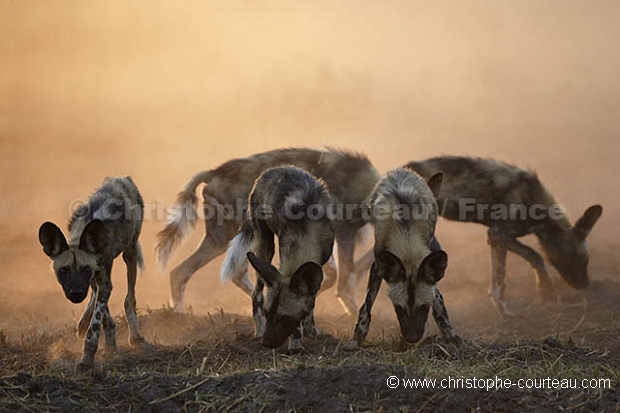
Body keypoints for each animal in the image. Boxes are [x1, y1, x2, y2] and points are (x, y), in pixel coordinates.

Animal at [37, 176, 147, 370]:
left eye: (85, 269)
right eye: (63, 270)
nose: (76, 293)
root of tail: (122, 178)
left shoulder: (102, 280)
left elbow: (94, 327)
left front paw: (87, 360)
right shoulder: (99, 277)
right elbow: (104, 317)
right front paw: (110, 346)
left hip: (130, 253)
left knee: (129, 298)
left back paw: (135, 336)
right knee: (95, 294)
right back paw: (83, 322)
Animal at [155, 148, 378, 316]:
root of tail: (215, 172)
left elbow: (333, 274)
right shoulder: (344, 234)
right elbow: (344, 281)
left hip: (226, 239)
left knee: (186, 272)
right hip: (235, 236)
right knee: (192, 272)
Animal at [219, 166, 332, 350]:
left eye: (284, 318)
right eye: (268, 313)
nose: (265, 343)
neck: (306, 230)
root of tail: (273, 170)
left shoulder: (318, 268)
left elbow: (311, 303)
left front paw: (310, 329)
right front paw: (296, 343)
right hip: (264, 248)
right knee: (256, 293)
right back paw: (258, 329)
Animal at [348, 168, 460, 348]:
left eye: (423, 308)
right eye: (398, 309)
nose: (412, 338)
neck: (405, 232)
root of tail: (403, 171)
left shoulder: (427, 268)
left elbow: (438, 303)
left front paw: (450, 335)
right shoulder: (378, 267)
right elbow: (366, 307)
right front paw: (357, 339)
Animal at [404, 156, 604, 318]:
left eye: (585, 260)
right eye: (562, 261)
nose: (583, 284)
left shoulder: (496, 237)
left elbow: (521, 264)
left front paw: (544, 291)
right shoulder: (499, 234)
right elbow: (508, 274)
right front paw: (506, 312)